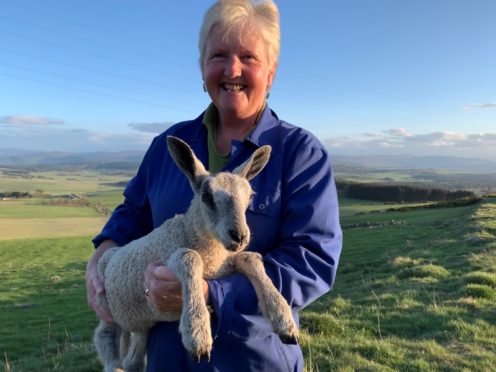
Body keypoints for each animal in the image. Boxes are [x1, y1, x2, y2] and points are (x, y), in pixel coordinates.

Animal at [92, 137, 298, 372]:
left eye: (250, 196)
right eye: (207, 196)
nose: (239, 236)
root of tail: (111, 253)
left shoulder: (224, 264)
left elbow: (250, 259)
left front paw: (284, 320)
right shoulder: (167, 256)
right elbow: (189, 257)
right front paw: (197, 335)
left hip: (140, 322)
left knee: (135, 352)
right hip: (106, 307)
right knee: (104, 335)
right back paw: (113, 365)